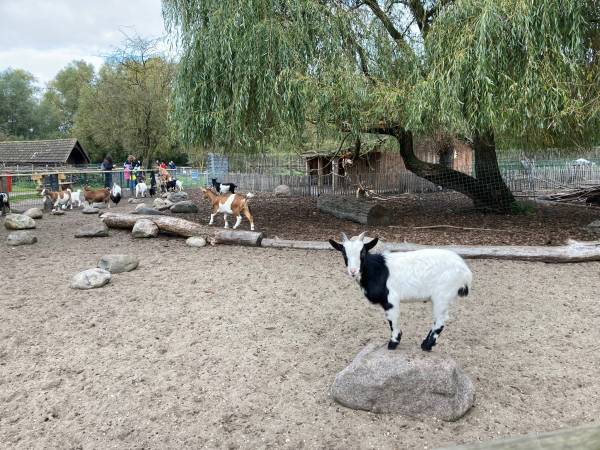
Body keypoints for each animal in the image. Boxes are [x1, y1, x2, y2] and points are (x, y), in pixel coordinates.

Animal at [328, 232, 474, 352]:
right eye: (343, 253)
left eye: (362, 252)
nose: (353, 271)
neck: (377, 270)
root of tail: (466, 272)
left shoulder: (391, 299)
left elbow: (392, 319)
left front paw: (393, 343)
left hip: (442, 295)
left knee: (440, 320)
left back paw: (426, 346)